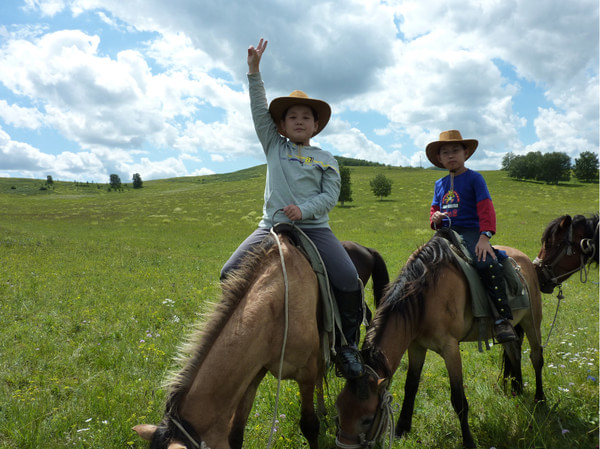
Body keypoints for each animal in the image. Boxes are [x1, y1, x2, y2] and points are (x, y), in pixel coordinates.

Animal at [336, 231, 548, 448]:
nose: (344, 445)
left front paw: (468, 441)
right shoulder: (416, 346)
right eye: (339, 410)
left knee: (536, 357)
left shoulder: (450, 349)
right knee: (514, 353)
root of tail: (523, 259)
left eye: (367, 419)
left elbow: (458, 399)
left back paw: (540, 399)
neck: (423, 299)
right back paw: (517, 391)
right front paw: (402, 428)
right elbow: (411, 386)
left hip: (532, 320)